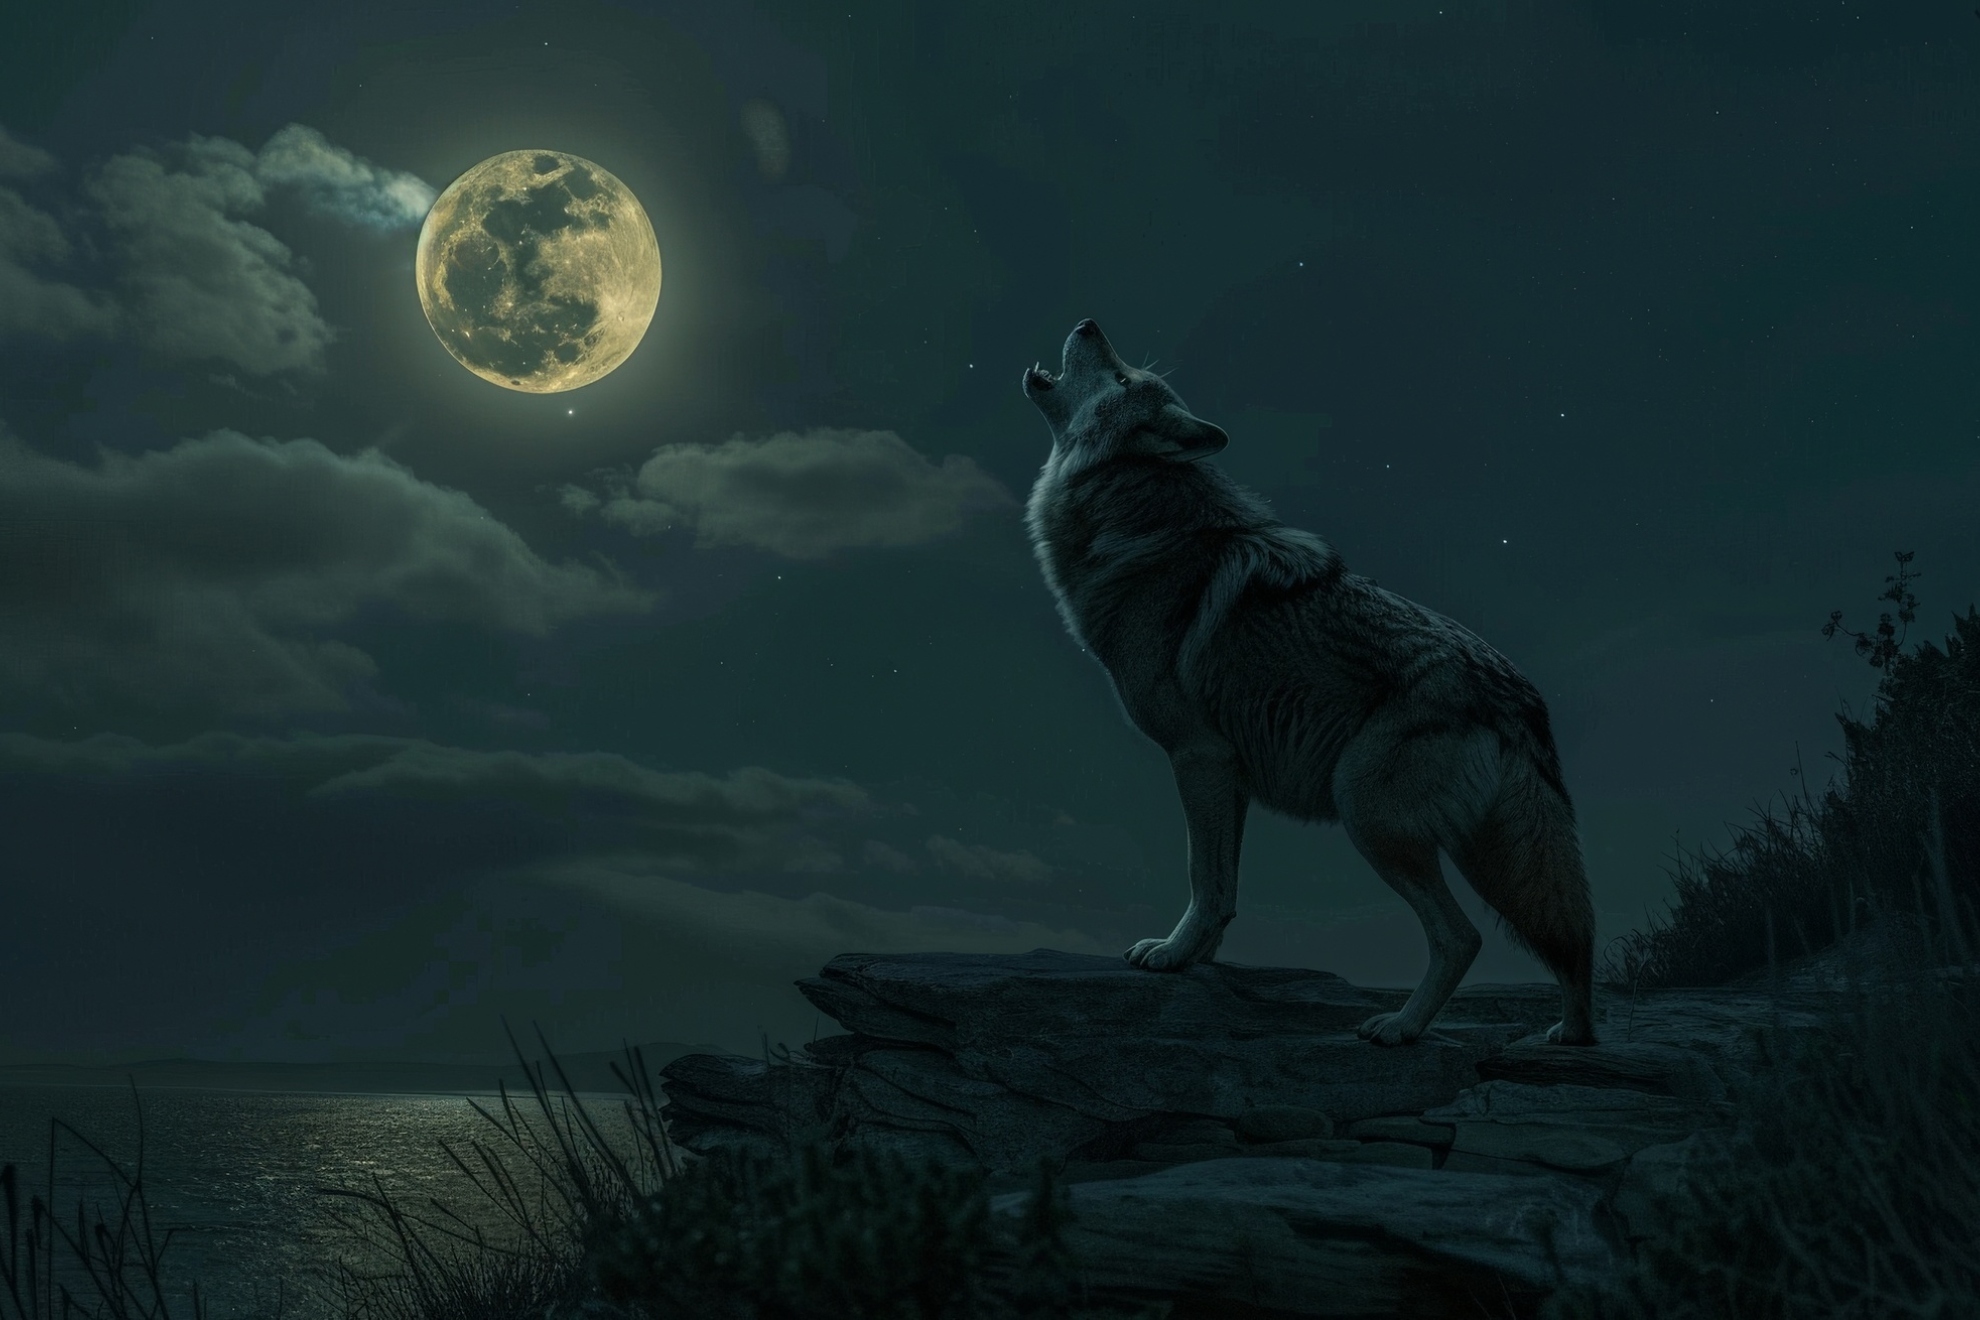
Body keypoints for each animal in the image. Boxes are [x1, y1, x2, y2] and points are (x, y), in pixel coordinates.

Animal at [1021, 319, 1596, 1046]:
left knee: (1461, 936)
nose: (1089, 322)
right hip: (1488, 853)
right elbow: (1225, 887)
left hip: (1369, 814)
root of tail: (1520, 695)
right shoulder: (1229, 773)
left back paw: (1400, 1027)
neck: (1132, 512)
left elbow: (1202, 876)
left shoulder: (1198, 757)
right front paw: (1201, 958)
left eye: (1123, 376)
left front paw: (1172, 956)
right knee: (1571, 935)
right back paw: (1572, 1035)